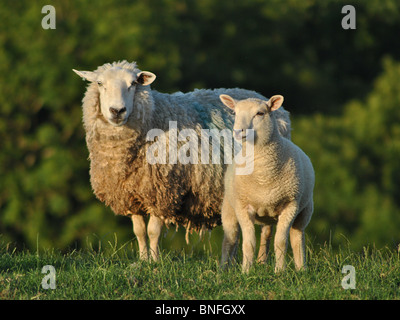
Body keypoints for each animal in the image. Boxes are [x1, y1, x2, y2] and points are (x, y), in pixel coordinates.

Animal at [72, 60, 290, 260]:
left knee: (267, 229)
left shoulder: (163, 190)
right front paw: (142, 261)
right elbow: (139, 232)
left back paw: (261, 261)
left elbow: (153, 231)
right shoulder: (132, 194)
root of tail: (262, 98)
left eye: (133, 83)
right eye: (100, 83)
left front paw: (155, 263)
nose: (117, 111)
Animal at [219, 94, 316, 272]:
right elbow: (248, 243)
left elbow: (281, 242)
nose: (238, 132)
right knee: (230, 239)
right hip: (229, 208)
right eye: (234, 113)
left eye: (260, 113)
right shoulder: (243, 207)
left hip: (304, 211)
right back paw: (223, 269)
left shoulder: (290, 206)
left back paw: (301, 269)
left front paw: (280, 271)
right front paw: (246, 271)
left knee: (296, 237)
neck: (263, 176)